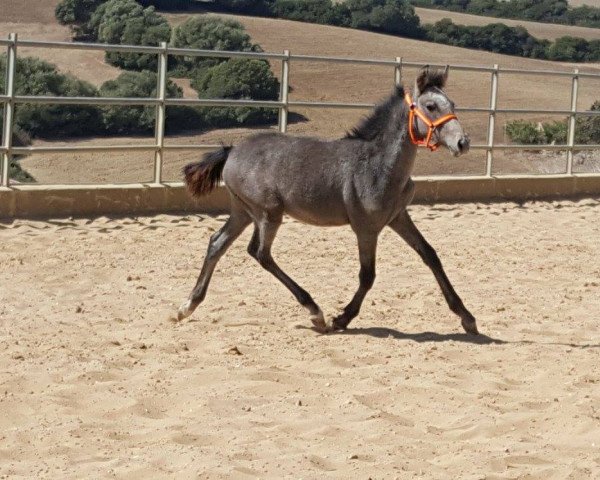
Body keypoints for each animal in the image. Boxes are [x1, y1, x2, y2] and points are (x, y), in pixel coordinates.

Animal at [177, 65, 478, 336]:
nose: (463, 143)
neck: (379, 165)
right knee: (260, 253)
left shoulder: (398, 217)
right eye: (430, 106)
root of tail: (231, 151)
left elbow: (430, 255)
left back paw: (187, 306)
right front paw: (341, 319)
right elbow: (367, 275)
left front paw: (467, 318)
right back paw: (315, 312)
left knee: (217, 243)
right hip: (267, 213)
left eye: (452, 104)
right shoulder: (366, 228)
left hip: (243, 211)